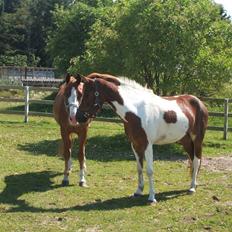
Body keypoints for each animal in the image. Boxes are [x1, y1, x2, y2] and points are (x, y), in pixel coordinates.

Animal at [75, 73, 208, 203]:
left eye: (87, 95)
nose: (78, 117)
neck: (136, 110)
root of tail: (199, 102)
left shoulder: (148, 145)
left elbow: (149, 170)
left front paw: (152, 197)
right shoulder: (135, 144)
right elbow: (139, 168)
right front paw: (138, 191)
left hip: (197, 139)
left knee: (196, 160)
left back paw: (192, 188)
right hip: (185, 140)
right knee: (192, 160)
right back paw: (193, 184)